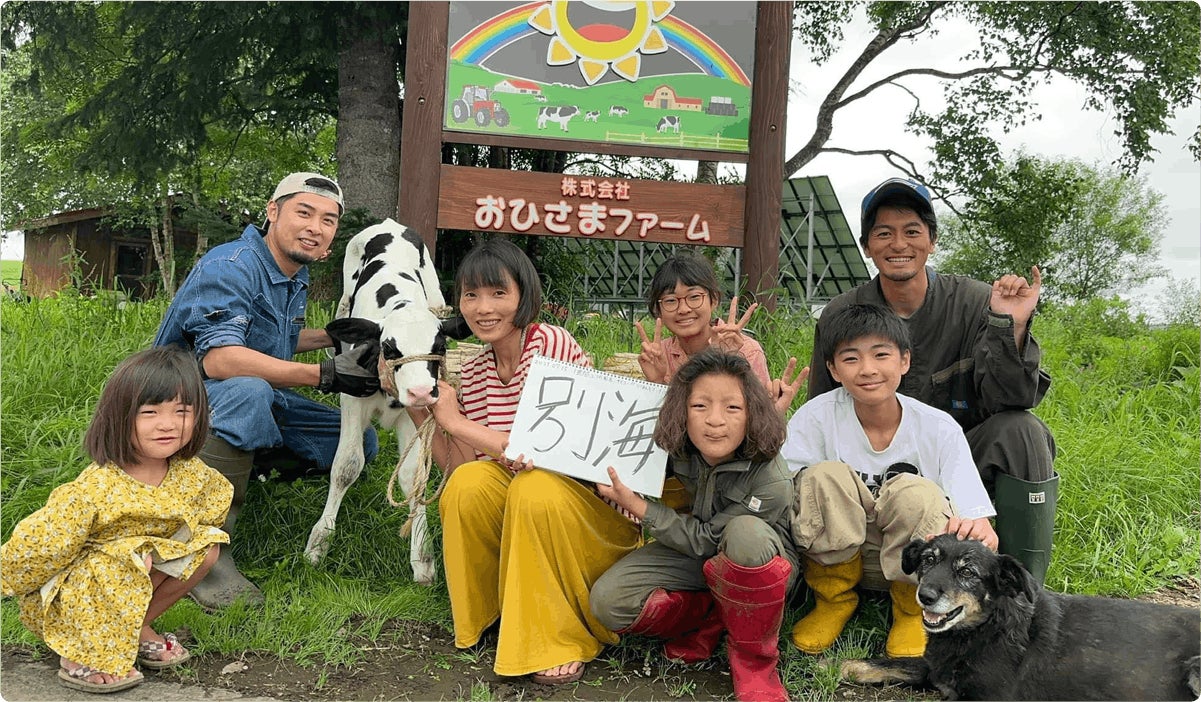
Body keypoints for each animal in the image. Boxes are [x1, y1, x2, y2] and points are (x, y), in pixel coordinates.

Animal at [304, 218, 471, 585]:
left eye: (440, 346)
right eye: (389, 348)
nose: (421, 391)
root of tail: (389, 223)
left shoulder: (415, 415)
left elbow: (413, 477)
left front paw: (423, 557)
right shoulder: (352, 400)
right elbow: (346, 466)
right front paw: (319, 542)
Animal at [840, 534, 1200, 700]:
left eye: (968, 572)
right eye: (929, 560)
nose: (925, 596)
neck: (987, 630)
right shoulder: (936, 668)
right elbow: (901, 664)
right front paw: (844, 665)